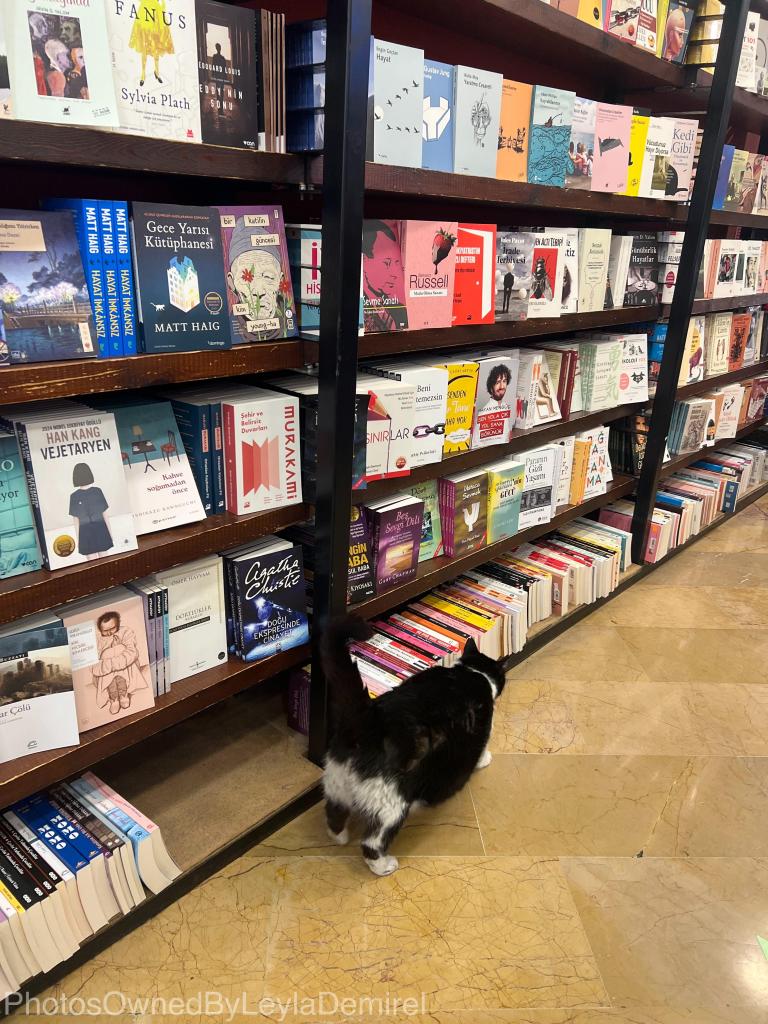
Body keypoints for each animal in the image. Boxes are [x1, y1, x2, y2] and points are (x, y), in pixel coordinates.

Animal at [321, 614, 513, 876]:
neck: (473, 673)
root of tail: (366, 720)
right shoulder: (480, 731)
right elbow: (480, 750)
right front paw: (484, 761)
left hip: (336, 782)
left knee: (334, 811)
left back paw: (339, 837)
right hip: (391, 803)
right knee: (372, 842)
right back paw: (383, 866)